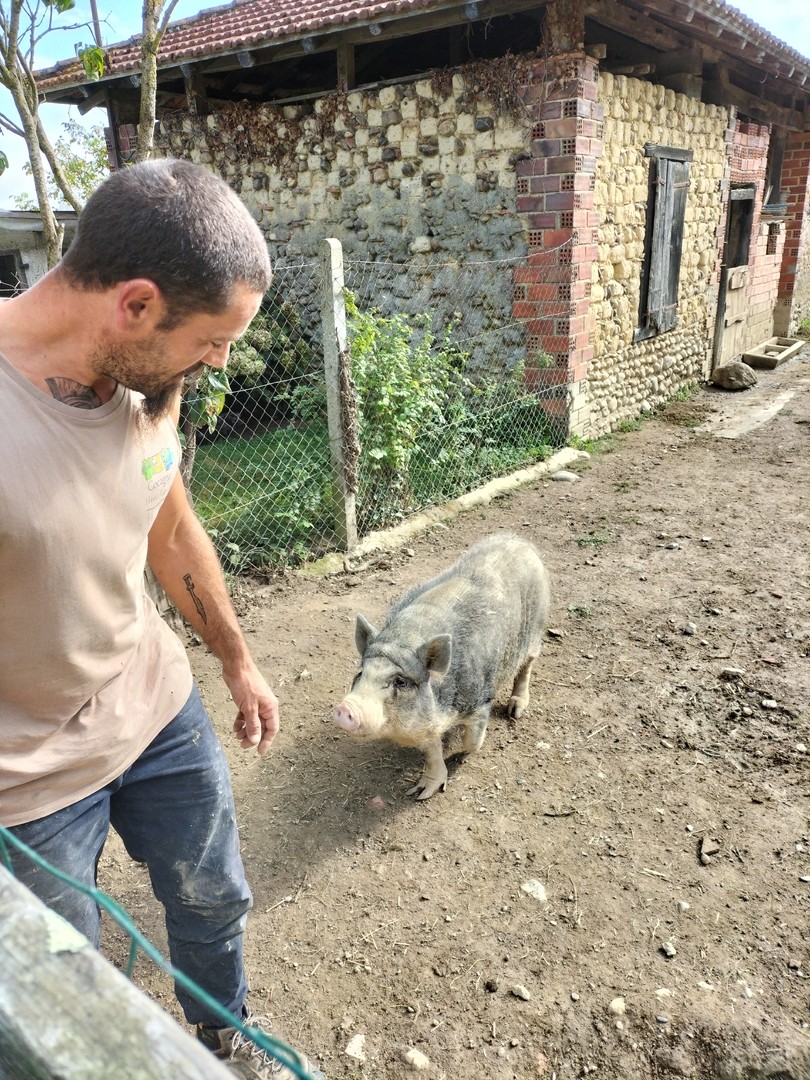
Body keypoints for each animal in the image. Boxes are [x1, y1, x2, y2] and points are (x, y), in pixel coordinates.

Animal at [330, 535, 552, 799]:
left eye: (400, 681)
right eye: (361, 673)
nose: (344, 708)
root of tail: (521, 542)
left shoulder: (481, 699)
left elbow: (471, 742)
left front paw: (473, 746)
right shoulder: (425, 723)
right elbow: (431, 750)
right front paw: (419, 794)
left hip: (536, 630)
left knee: (527, 665)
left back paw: (515, 711)